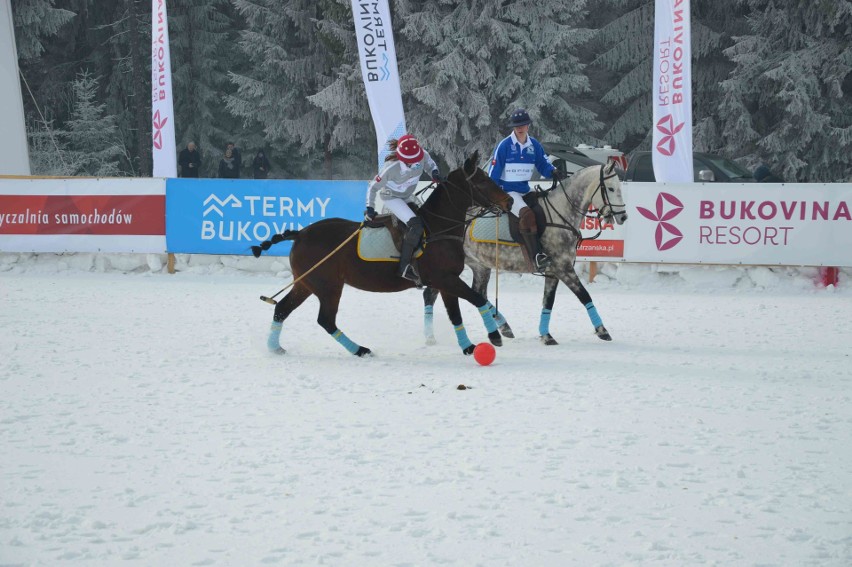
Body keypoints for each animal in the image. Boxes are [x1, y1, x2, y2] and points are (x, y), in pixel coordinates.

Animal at [250, 151, 510, 356]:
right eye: (482, 181)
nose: (508, 201)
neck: (439, 227)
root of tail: (300, 234)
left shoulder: (447, 282)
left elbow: (456, 314)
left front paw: (469, 347)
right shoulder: (444, 278)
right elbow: (477, 299)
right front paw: (494, 336)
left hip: (306, 283)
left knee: (282, 309)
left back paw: (275, 348)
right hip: (328, 285)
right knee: (325, 319)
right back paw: (360, 350)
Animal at [424, 161, 628, 346]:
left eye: (619, 188)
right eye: (610, 188)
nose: (623, 216)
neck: (561, 214)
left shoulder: (553, 271)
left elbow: (548, 302)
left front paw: (546, 335)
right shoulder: (563, 268)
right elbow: (584, 296)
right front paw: (602, 331)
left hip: (479, 265)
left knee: (476, 293)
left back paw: (504, 327)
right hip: (447, 267)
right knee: (432, 293)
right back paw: (430, 337)